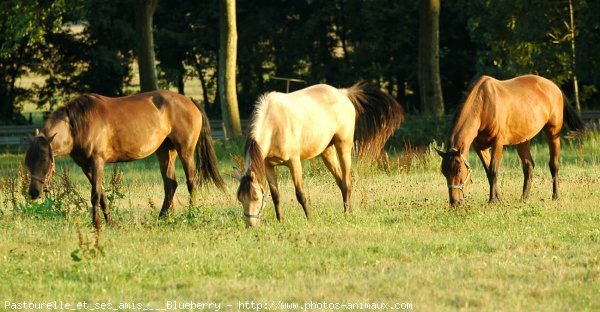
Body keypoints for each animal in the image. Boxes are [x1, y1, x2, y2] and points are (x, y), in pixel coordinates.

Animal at [24, 89, 227, 228]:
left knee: (191, 182)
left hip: (185, 151)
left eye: (44, 160)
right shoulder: (86, 167)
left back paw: (191, 214)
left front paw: (97, 224)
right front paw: (110, 222)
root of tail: (190, 101)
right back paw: (163, 217)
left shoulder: (97, 162)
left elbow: (95, 194)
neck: (76, 126)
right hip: (165, 152)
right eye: (27, 162)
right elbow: (102, 194)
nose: (33, 192)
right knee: (170, 184)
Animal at [234, 81, 404, 225]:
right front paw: (280, 220)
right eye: (240, 199)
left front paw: (310, 218)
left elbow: (300, 194)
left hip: (343, 147)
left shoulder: (294, 163)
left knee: (347, 182)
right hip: (327, 152)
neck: (274, 125)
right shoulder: (268, 165)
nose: (250, 225)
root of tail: (342, 93)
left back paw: (348, 213)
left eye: (256, 197)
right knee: (340, 181)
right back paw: (346, 210)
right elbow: (276, 195)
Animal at [436, 74, 584, 206]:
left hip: (553, 133)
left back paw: (555, 196)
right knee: (529, 167)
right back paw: (524, 198)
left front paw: (492, 201)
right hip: (523, 140)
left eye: (459, 170)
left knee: (554, 165)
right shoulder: (480, 147)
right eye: (444, 172)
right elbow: (488, 172)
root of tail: (554, 87)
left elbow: (493, 170)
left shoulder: (498, 143)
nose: (454, 203)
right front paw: (498, 199)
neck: (484, 104)